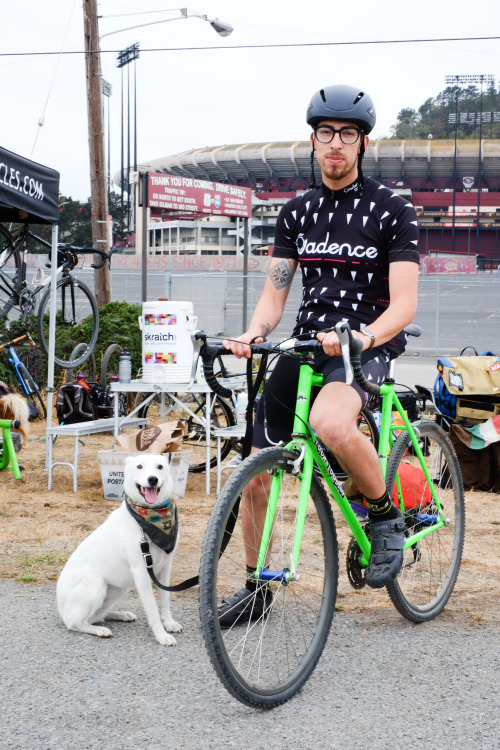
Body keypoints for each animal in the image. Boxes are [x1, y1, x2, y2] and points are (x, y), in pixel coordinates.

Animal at [57, 456, 182, 648]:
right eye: (139, 466)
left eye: (160, 467)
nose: (152, 479)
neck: (149, 517)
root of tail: (60, 607)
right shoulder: (141, 573)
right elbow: (153, 609)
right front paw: (161, 635)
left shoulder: (165, 568)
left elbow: (165, 601)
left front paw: (168, 623)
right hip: (96, 584)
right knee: (75, 622)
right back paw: (99, 630)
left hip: (118, 588)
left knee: (97, 616)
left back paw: (119, 615)